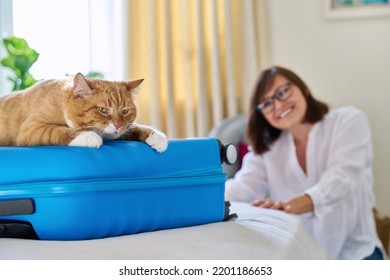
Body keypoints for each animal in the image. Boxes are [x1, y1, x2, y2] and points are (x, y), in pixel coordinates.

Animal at [0, 72, 167, 151]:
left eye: (125, 111)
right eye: (103, 109)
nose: (118, 125)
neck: (62, 102)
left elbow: (134, 127)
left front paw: (156, 136)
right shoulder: (31, 129)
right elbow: (56, 130)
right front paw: (87, 136)